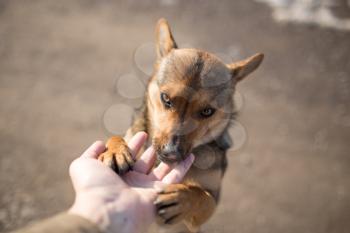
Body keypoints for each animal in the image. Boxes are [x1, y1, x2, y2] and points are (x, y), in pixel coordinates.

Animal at [98, 18, 262, 233]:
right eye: (166, 99)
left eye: (208, 111)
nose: (171, 153)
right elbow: (116, 137)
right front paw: (115, 151)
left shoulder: (211, 201)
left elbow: (203, 197)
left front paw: (182, 199)